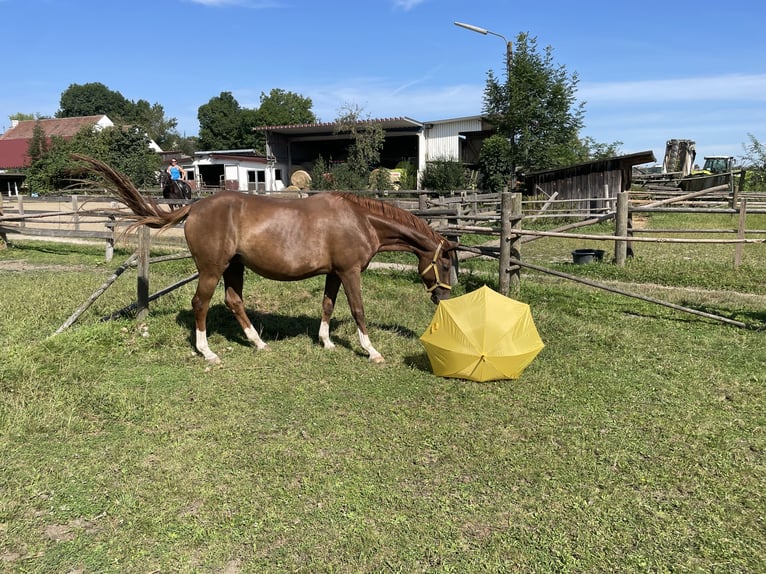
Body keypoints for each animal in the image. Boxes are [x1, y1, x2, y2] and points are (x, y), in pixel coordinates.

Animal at [78, 155, 456, 366]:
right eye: (446, 264)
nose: (443, 297)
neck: (360, 219)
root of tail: (194, 207)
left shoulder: (334, 273)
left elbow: (327, 305)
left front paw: (327, 342)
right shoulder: (349, 272)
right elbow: (358, 310)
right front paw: (372, 351)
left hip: (234, 267)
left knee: (234, 301)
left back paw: (258, 343)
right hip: (212, 269)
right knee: (201, 303)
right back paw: (207, 352)